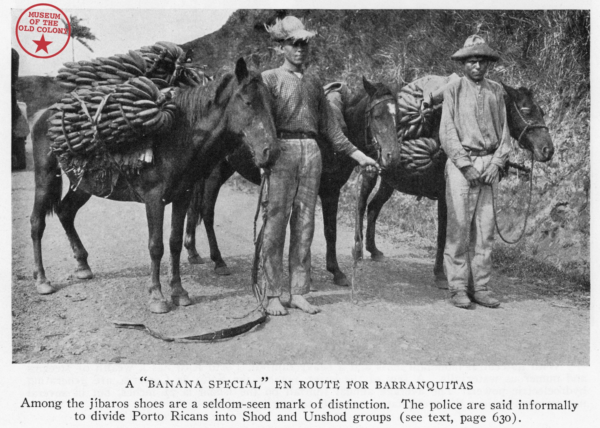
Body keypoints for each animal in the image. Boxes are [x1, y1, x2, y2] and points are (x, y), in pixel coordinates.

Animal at [30, 58, 278, 312]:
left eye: (272, 104)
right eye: (248, 102)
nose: (271, 151)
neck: (177, 135)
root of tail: (43, 114)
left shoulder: (182, 197)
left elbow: (174, 243)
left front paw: (179, 292)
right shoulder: (154, 199)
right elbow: (156, 246)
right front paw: (157, 296)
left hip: (83, 185)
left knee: (65, 212)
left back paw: (82, 265)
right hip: (45, 177)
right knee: (37, 223)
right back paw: (42, 280)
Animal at [183, 77, 398, 286]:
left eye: (397, 116)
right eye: (377, 116)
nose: (391, 156)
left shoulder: (331, 190)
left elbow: (324, 230)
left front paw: (331, 272)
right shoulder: (325, 191)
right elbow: (324, 230)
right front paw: (327, 273)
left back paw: (193, 252)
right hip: (214, 174)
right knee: (207, 212)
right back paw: (218, 261)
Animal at [354, 82, 556, 286]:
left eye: (541, 111)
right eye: (526, 111)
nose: (548, 150)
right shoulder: (445, 196)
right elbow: (444, 235)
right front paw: (440, 274)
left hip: (389, 182)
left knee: (374, 207)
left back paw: (373, 250)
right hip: (370, 172)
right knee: (362, 205)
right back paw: (358, 249)